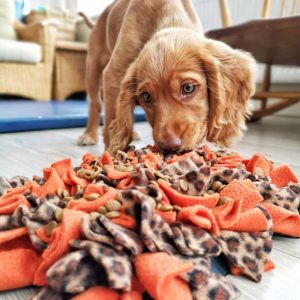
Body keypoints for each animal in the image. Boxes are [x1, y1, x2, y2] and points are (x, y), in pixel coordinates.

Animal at [78, 0, 255, 154]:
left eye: (188, 88)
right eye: (146, 96)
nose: (169, 146)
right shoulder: (114, 73)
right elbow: (111, 118)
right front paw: (110, 155)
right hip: (92, 65)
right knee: (95, 103)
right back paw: (89, 134)